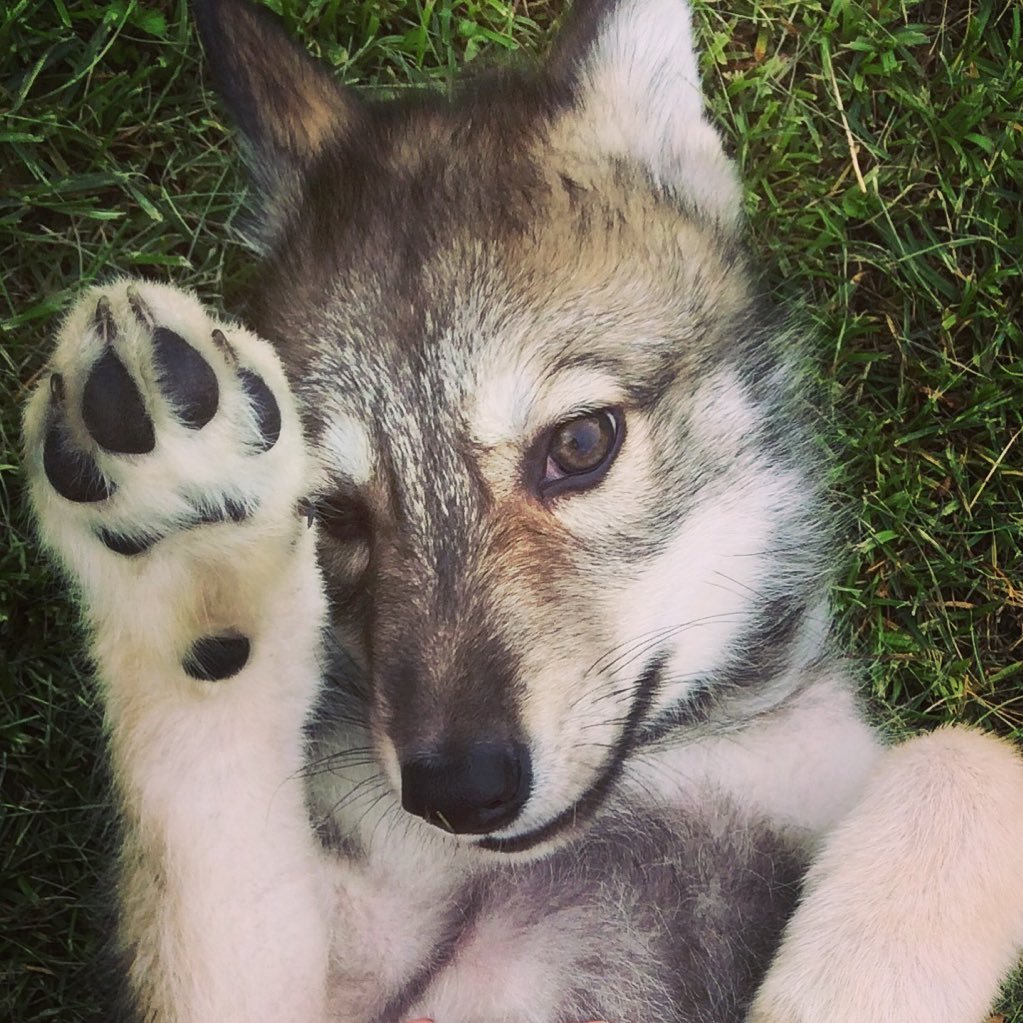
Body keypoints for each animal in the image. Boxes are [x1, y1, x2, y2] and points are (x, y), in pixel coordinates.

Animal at [19, 0, 1023, 1018]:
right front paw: (189, 554)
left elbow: (970, 757)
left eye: (579, 446)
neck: (659, 769)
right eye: (333, 515)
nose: (459, 792)